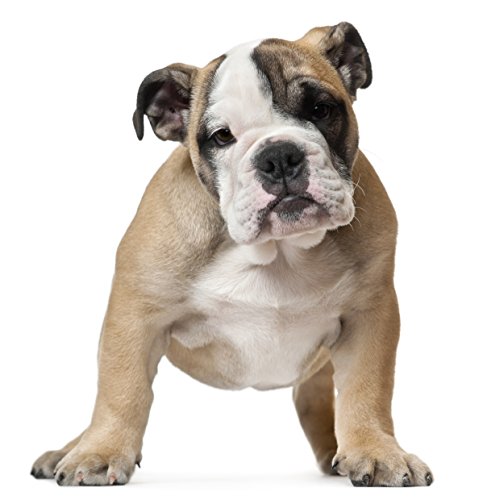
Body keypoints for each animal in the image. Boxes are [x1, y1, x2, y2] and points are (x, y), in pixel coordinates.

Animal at [31, 22, 433, 487]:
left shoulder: (371, 315)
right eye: (222, 137)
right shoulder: (135, 316)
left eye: (320, 109)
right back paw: (70, 449)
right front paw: (100, 452)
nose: (279, 155)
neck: (277, 251)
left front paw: (376, 451)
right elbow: (122, 388)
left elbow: (367, 387)